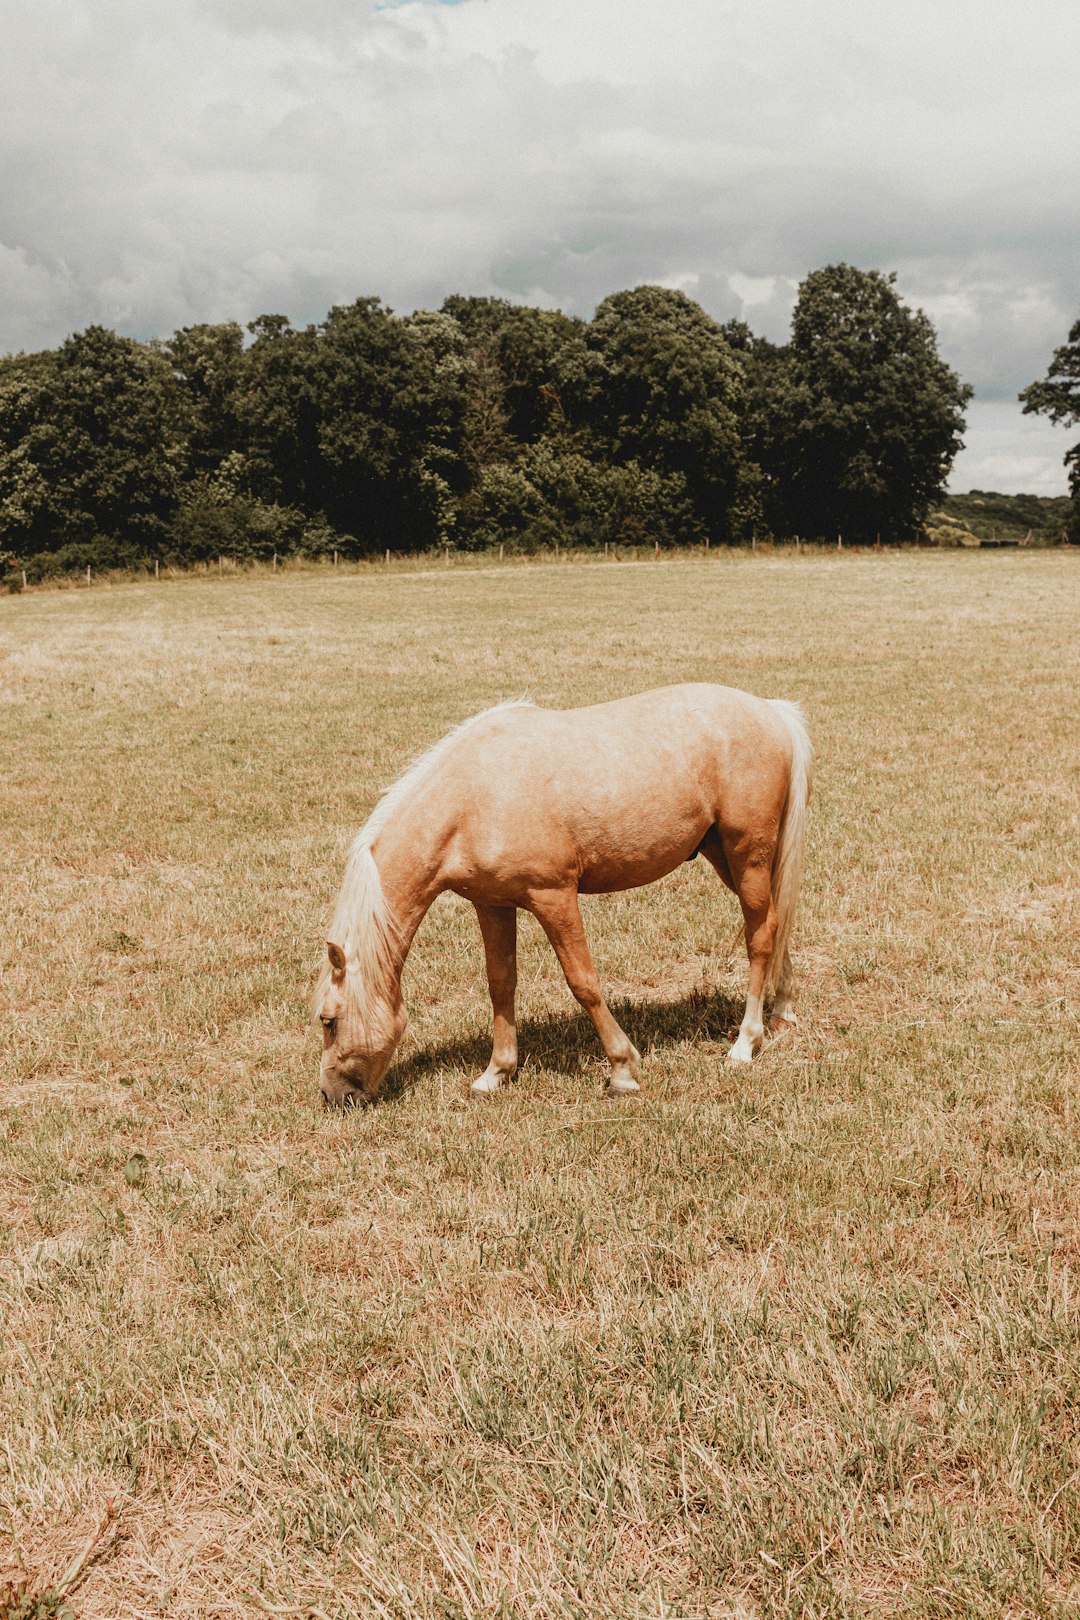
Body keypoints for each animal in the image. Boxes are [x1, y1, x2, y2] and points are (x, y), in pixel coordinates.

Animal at [317, 683, 816, 1101]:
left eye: (329, 1020)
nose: (333, 1096)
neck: (472, 798)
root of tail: (771, 710)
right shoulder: (492, 904)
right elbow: (501, 983)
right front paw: (496, 1073)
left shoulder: (553, 896)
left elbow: (583, 982)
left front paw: (622, 1069)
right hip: (725, 856)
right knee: (773, 923)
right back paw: (782, 1010)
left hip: (746, 853)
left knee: (760, 937)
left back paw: (745, 1043)